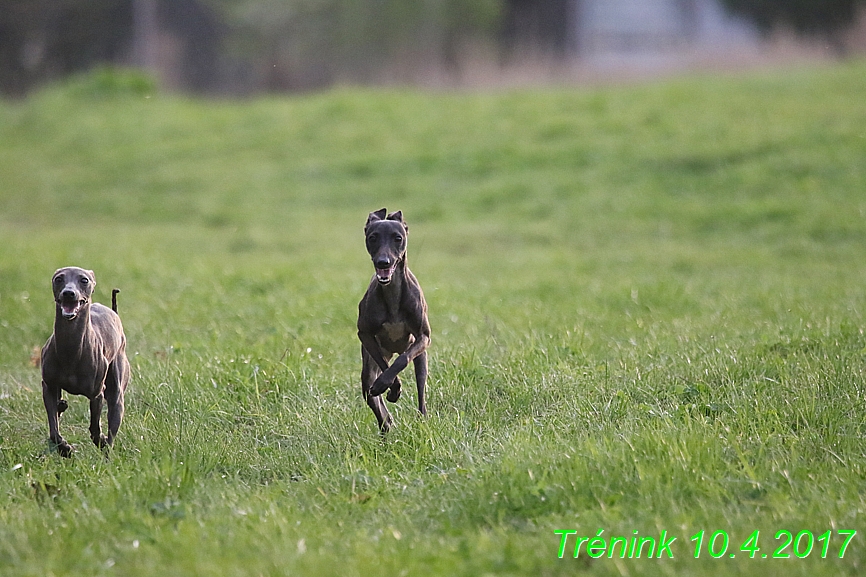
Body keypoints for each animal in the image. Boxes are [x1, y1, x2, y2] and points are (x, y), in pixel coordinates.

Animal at [40, 268, 130, 456]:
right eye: (59, 279)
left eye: (84, 280)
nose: (68, 293)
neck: (71, 350)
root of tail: (114, 313)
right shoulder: (49, 386)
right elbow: (53, 429)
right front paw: (64, 448)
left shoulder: (97, 394)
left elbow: (95, 427)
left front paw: (100, 439)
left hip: (117, 390)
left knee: (113, 422)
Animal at [354, 209, 428, 430]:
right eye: (372, 237)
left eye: (398, 238)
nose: (383, 262)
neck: (392, 293)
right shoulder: (365, 335)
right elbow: (386, 370)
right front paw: (391, 389)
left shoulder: (423, 337)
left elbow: (402, 360)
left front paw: (390, 387)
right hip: (369, 366)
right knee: (375, 400)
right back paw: (386, 423)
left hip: (421, 358)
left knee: (421, 390)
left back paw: (422, 418)